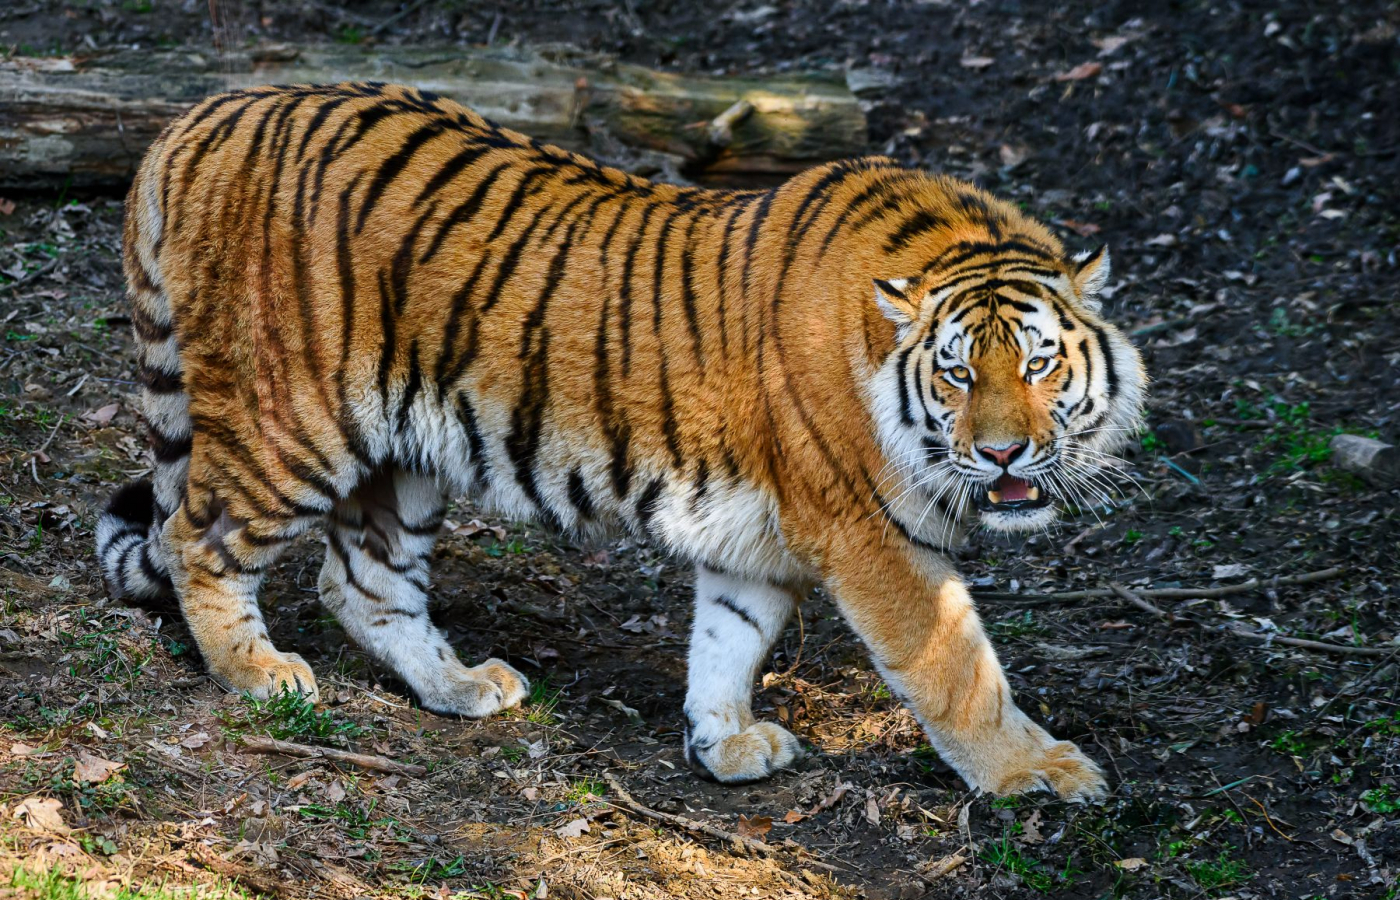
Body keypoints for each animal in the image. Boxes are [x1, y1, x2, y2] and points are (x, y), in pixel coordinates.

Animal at [97, 82, 1144, 801]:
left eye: (1040, 366)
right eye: (960, 375)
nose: (1005, 455)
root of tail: (202, 115)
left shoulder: (764, 536)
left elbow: (729, 635)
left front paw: (723, 742)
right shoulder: (873, 536)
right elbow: (958, 669)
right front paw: (1037, 771)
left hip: (403, 459)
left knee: (360, 584)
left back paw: (462, 685)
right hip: (291, 422)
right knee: (197, 539)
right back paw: (260, 676)